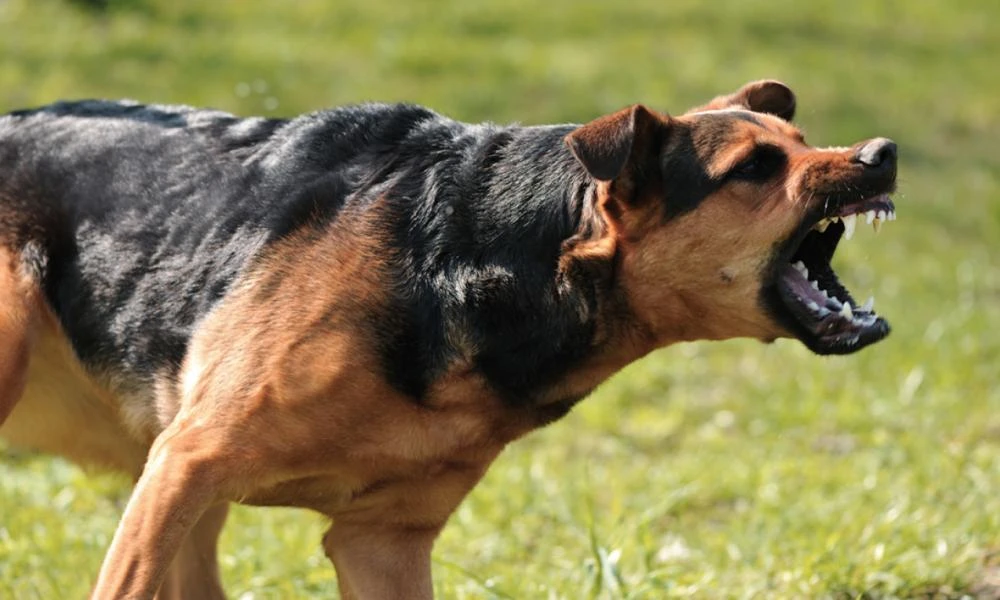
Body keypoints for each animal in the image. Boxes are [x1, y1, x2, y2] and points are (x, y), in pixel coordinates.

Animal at [0, 81, 900, 600]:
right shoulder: (188, 465)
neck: (482, 258)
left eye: (802, 142)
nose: (883, 152)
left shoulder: (381, 544)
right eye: (753, 167)